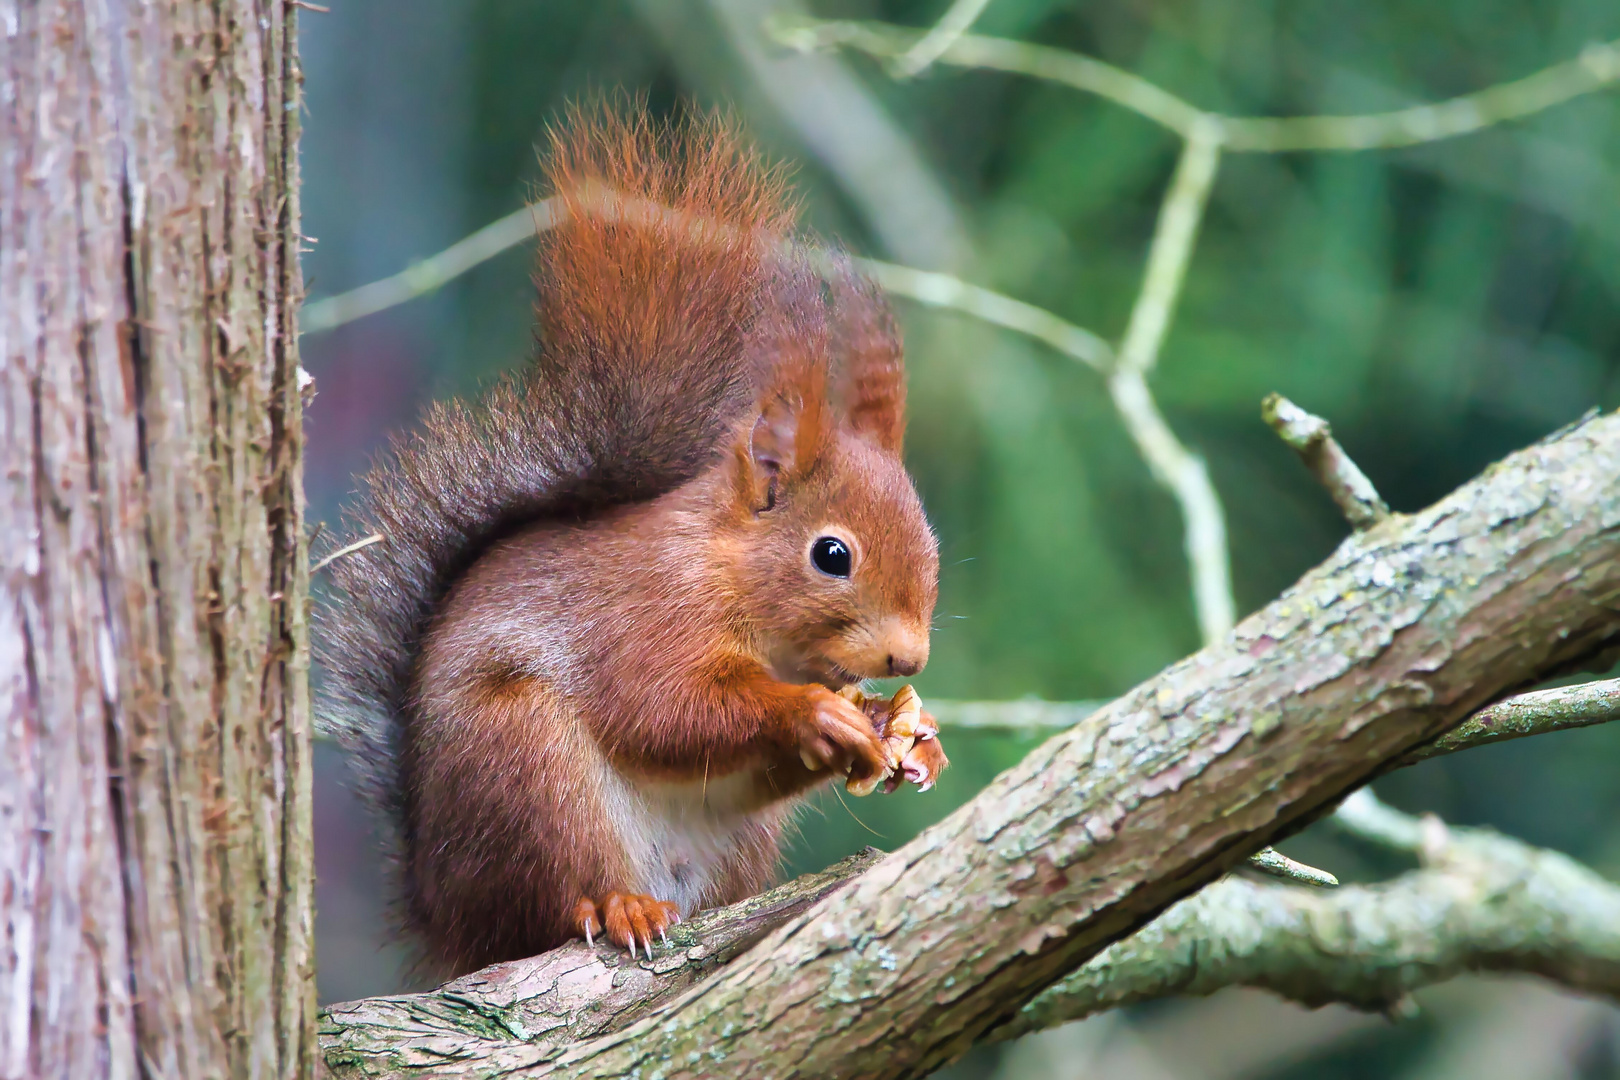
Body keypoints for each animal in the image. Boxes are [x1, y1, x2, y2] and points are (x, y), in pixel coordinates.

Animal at [317, 103, 946, 977]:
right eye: (832, 555)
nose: (909, 659)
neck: (726, 569)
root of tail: (447, 920)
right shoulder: (646, 615)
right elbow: (665, 708)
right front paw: (817, 713)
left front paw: (904, 731)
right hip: (525, 767)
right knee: (555, 900)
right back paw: (617, 905)